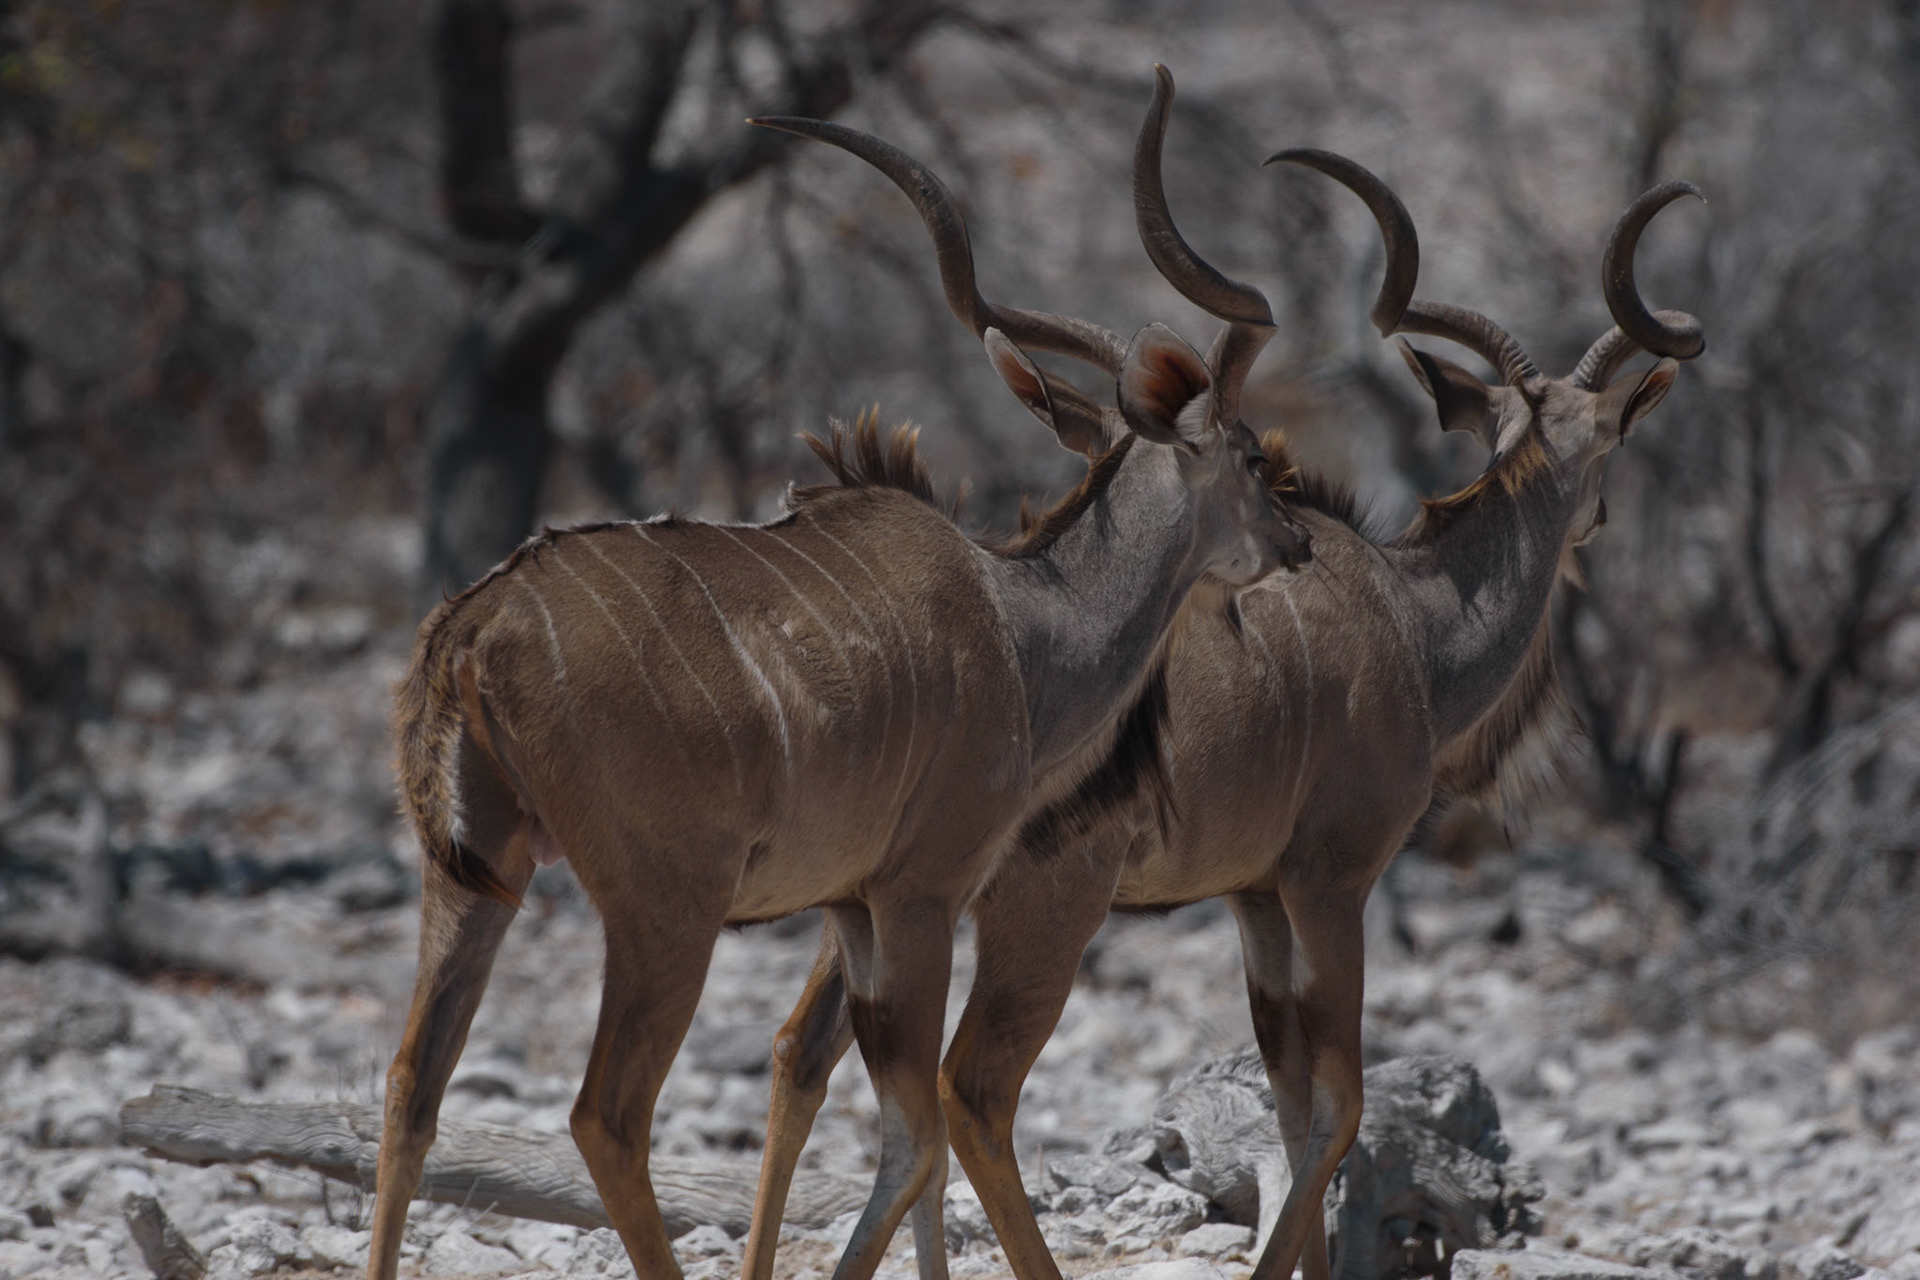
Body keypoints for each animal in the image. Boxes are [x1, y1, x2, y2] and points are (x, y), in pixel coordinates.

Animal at [364, 67, 1317, 1280]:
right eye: (1247, 455)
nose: (1299, 541)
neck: (1023, 625)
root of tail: (473, 628)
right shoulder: (917, 894)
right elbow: (920, 1134)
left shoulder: (855, 910)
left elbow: (889, 1127)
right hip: (665, 909)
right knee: (605, 1114)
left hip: (476, 875)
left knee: (411, 1086)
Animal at [745, 143, 1705, 1280]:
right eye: (1608, 443)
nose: (1595, 518)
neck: (1410, 619)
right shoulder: (1330, 880)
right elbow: (1339, 1110)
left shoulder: (1256, 899)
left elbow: (1289, 1109)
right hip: (1038, 908)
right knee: (968, 1087)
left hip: (887, 904)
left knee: (809, 1050)